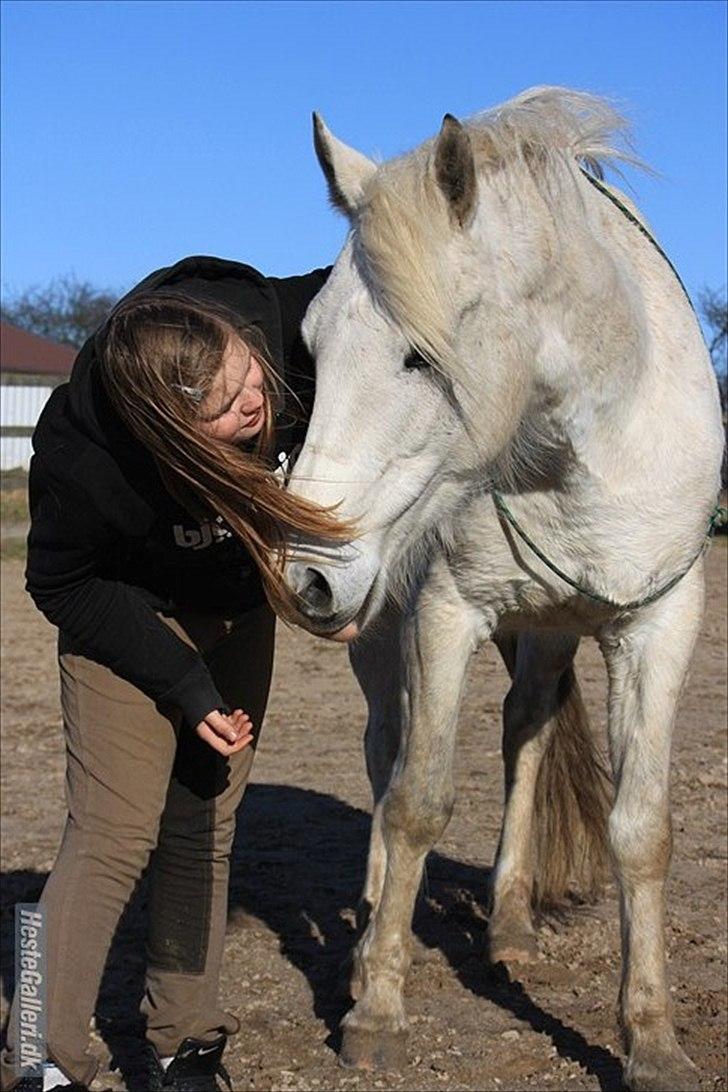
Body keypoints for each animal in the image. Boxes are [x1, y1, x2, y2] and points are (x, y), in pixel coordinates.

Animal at [283, 89, 724, 1087]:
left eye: (419, 355)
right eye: (313, 346)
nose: (308, 576)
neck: (576, 448)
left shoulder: (659, 625)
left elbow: (642, 829)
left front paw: (652, 1038)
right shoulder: (444, 614)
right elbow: (416, 802)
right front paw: (378, 1008)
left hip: (548, 629)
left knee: (525, 733)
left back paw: (512, 922)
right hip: (382, 632)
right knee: (385, 754)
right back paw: (367, 938)